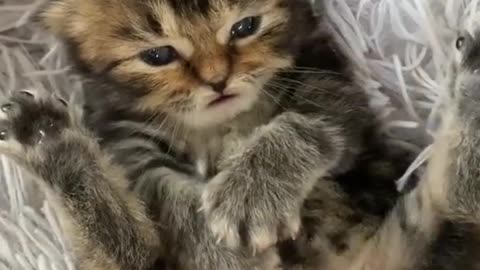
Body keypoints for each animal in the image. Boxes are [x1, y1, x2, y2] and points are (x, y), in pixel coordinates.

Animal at [1, 0, 478, 268]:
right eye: (158, 55)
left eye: (245, 27)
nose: (218, 81)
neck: (219, 124)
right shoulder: (127, 142)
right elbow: (162, 190)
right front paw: (219, 251)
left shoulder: (334, 88)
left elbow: (305, 124)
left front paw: (252, 191)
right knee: (131, 253)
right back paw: (45, 138)